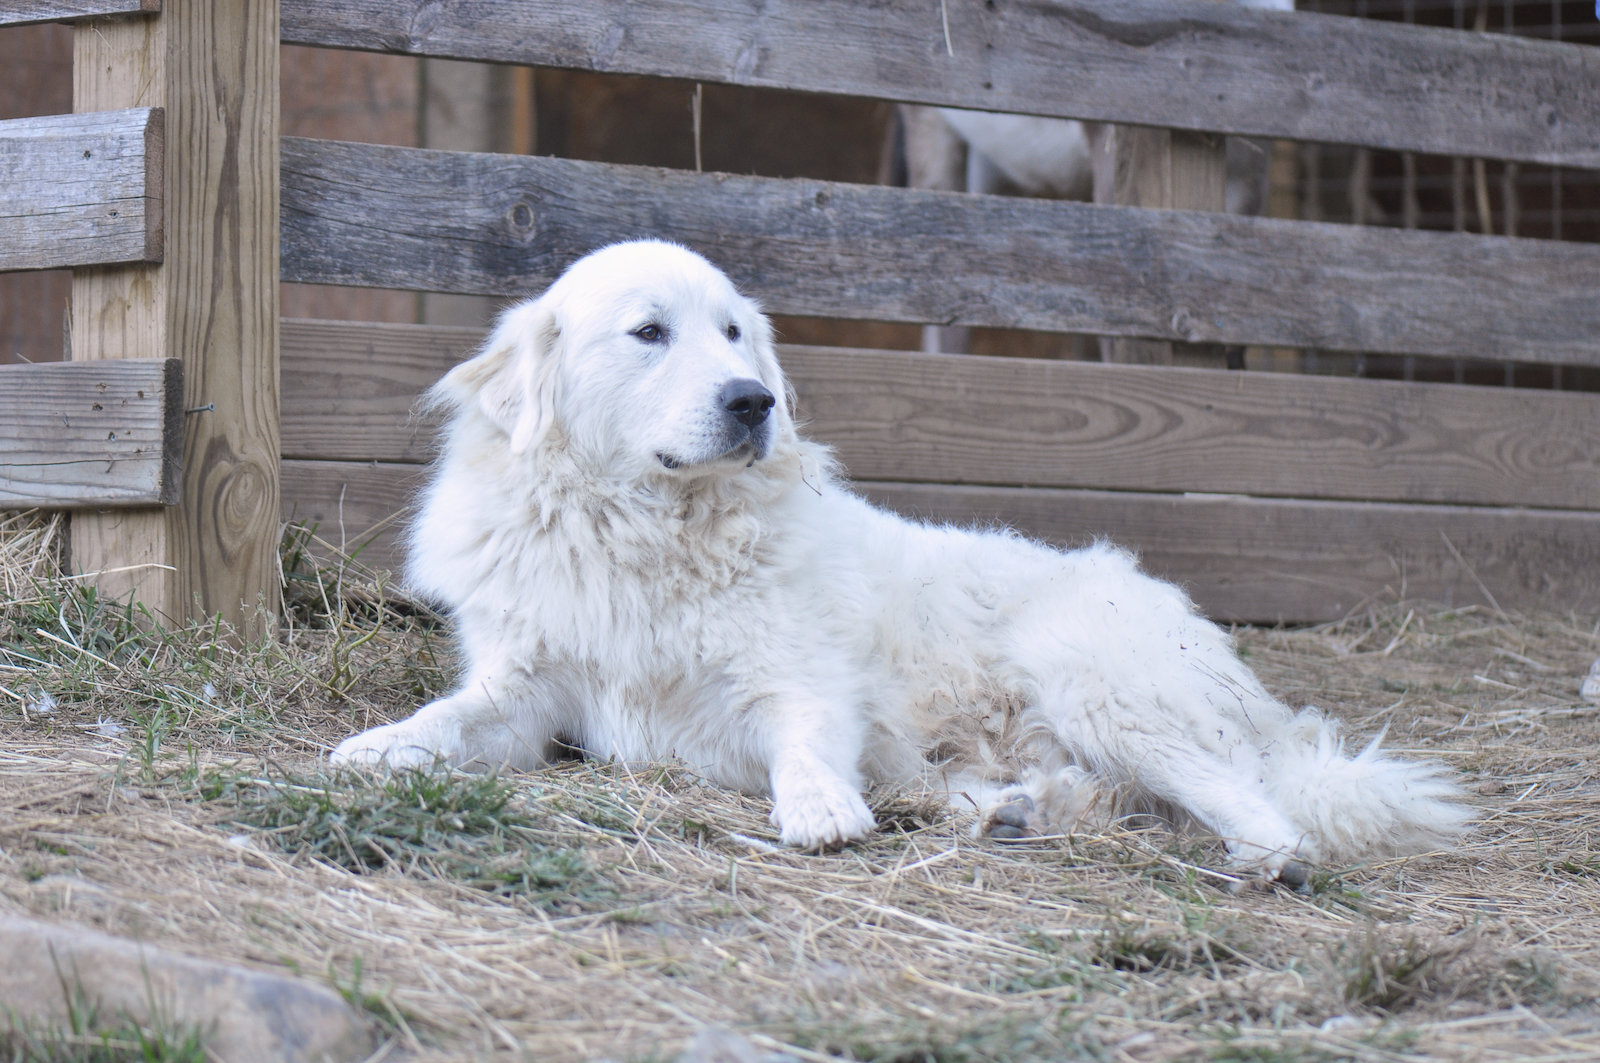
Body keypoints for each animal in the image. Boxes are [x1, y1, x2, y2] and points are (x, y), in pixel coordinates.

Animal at [331, 244, 1465, 883]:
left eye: (734, 332)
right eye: (649, 332)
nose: (755, 399)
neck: (646, 528)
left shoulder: (795, 680)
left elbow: (802, 741)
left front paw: (820, 810)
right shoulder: (529, 689)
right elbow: (451, 715)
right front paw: (381, 746)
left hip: (1095, 680)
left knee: (1264, 812)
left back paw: (1254, 865)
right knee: (1096, 796)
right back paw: (1012, 813)